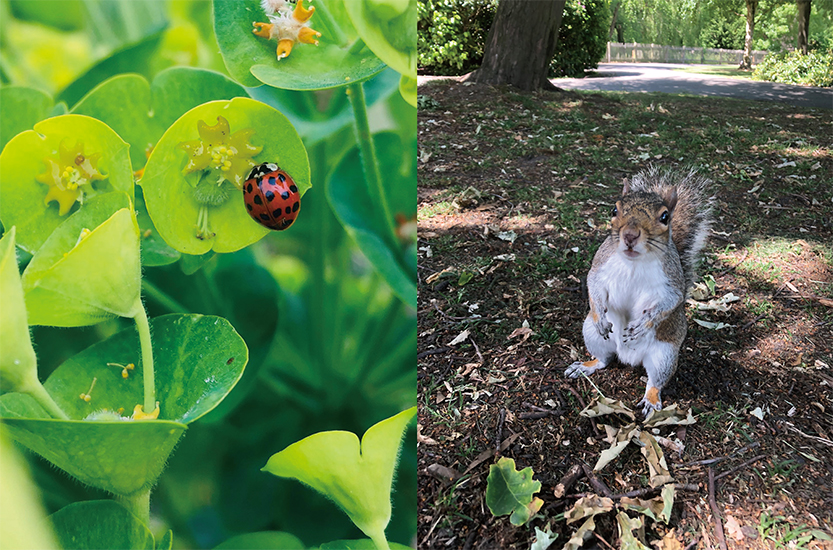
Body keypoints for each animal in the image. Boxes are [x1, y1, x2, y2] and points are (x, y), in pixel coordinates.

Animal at [564, 168, 716, 418]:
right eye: (614, 210)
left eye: (665, 217)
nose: (630, 235)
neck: (634, 261)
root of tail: (629, 358)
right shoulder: (600, 264)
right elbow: (593, 284)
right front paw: (600, 315)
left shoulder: (672, 282)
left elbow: (670, 302)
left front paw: (641, 325)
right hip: (592, 335)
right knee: (604, 360)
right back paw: (585, 366)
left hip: (664, 355)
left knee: (655, 381)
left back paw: (651, 400)